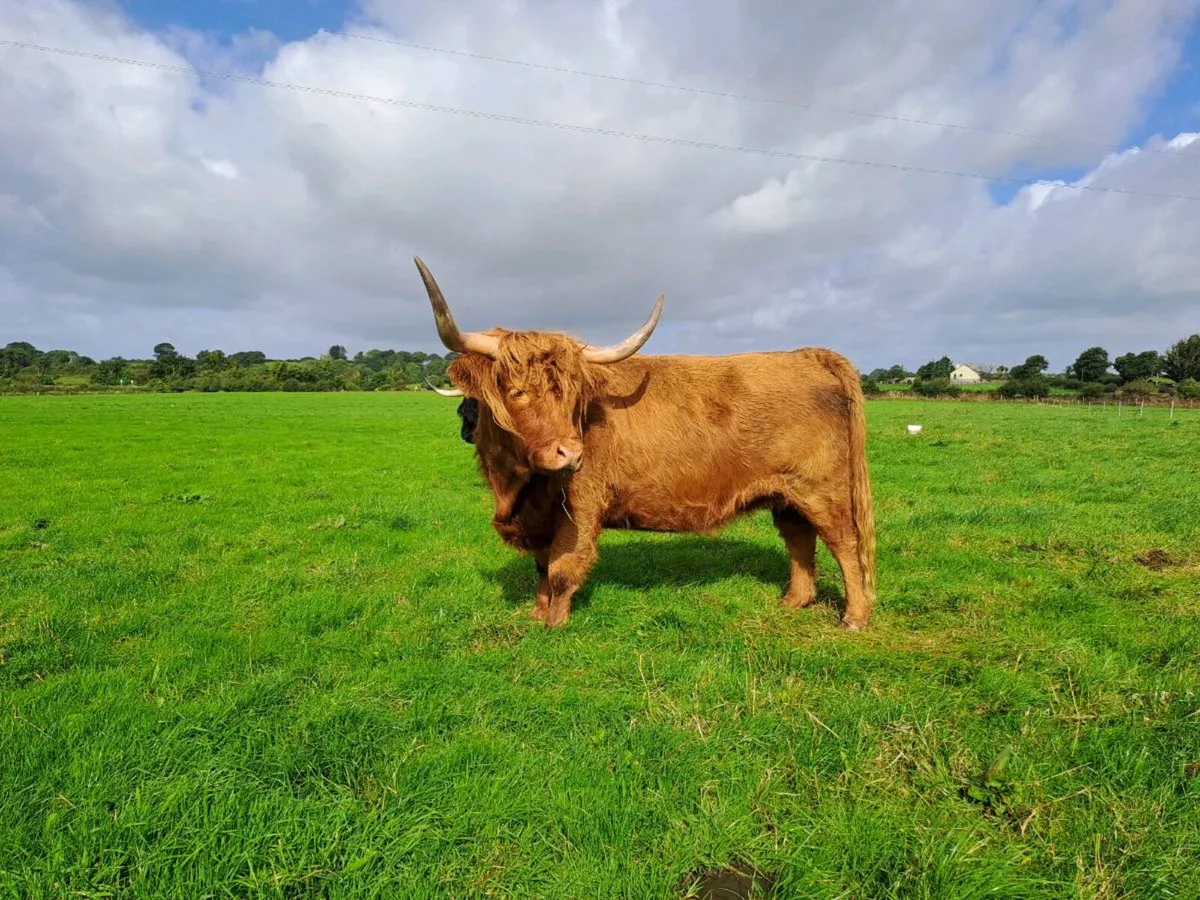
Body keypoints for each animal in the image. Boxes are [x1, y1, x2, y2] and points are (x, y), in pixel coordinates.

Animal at [416, 256, 877, 630]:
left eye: (573, 395)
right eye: (516, 392)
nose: (571, 453)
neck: (515, 487)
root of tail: (808, 354)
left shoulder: (580, 507)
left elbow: (562, 568)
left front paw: (554, 624)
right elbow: (541, 567)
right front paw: (535, 613)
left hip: (822, 490)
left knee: (844, 543)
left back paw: (854, 617)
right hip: (787, 494)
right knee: (799, 539)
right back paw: (793, 602)